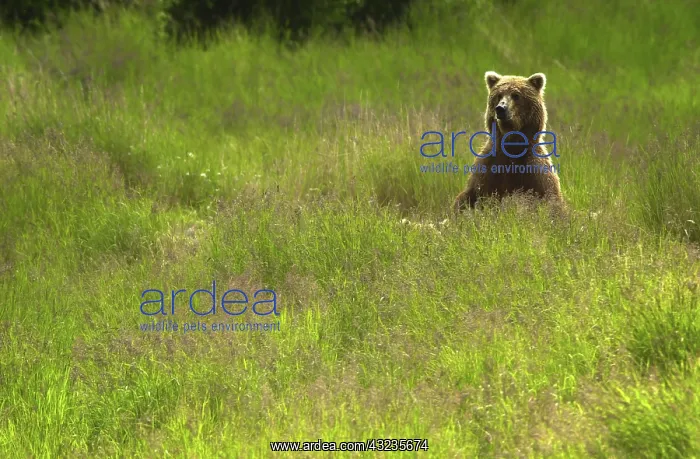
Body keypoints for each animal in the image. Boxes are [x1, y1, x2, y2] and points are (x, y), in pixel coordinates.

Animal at [453, 71, 563, 212]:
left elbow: (549, 199)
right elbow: (473, 195)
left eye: (516, 95)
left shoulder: (535, 171)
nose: (500, 108)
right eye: (499, 95)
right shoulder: (489, 168)